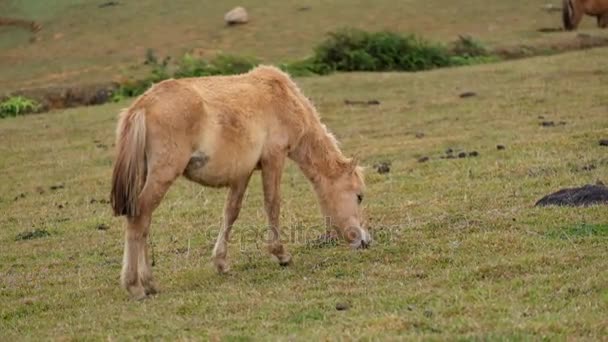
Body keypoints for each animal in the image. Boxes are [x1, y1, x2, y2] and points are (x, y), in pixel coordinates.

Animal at [110, 65, 370, 300]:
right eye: (359, 196)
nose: (365, 241)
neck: (282, 97)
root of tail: (141, 107)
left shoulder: (242, 173)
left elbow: (231, 213)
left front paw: (221, 263)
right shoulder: (274, 159)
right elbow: (272, 205)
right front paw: (281, 254)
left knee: (144, 222)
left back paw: (149, 283)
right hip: (161, 176)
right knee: (139, 218)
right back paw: (136, 286)